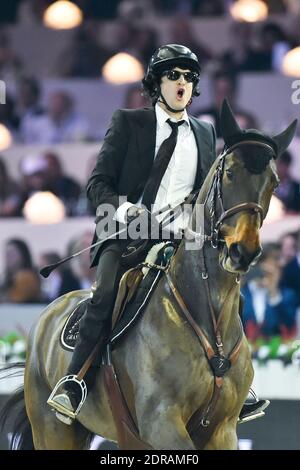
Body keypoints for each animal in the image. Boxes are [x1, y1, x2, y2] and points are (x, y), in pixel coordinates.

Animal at [0, 101, 298, 450]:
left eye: (275, 182)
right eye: (229, 172)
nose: (243, 251)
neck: (207, 319)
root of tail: (50, 312)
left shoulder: (222, 429)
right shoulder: (161, 423)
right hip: (53, 429)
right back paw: (67, 392)